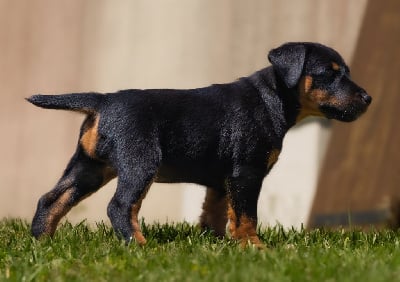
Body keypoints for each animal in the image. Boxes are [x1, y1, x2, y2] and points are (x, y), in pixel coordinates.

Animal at [28, 41, 372, 247]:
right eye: (329, 73)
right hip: (139, 162)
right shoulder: (246, 172)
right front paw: (255, 246)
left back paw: (41, 242)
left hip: (90, 166)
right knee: (120, 205)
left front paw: (219, 244)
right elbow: (246, 214)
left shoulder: (222, 180)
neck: (272, 97)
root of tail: (102, 100)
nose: (368, 98)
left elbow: (216, 213)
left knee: (51, 199)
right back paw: (141, 247)